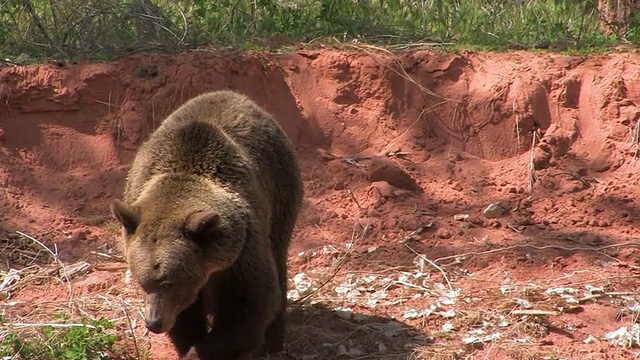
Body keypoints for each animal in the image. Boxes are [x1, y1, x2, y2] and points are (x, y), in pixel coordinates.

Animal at [109, 90, 302, 360]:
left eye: (169, 281)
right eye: (142, 282)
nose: (154, 322)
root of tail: (240, 97)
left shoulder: (243, 251)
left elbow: (249, 307)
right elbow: (187, 319)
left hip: (281, 189)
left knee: (279, 256)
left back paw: (274, 342)